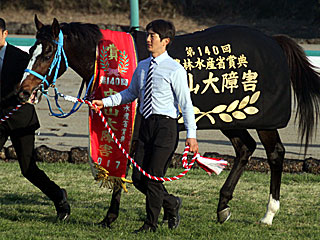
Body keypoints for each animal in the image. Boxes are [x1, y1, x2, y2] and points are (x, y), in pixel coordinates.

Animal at [18, 15, 320, 226]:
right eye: (31, 50)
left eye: (47, 52)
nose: (23, 90)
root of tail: (274, 41)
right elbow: (137, 176)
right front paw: (149, 212)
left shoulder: (138, 129)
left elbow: (138, 176)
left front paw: (159, 210)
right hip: (230, 120)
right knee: (245, 148)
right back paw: (223, 206)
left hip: (264, 121)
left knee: (275, 153)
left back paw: (269, 214)